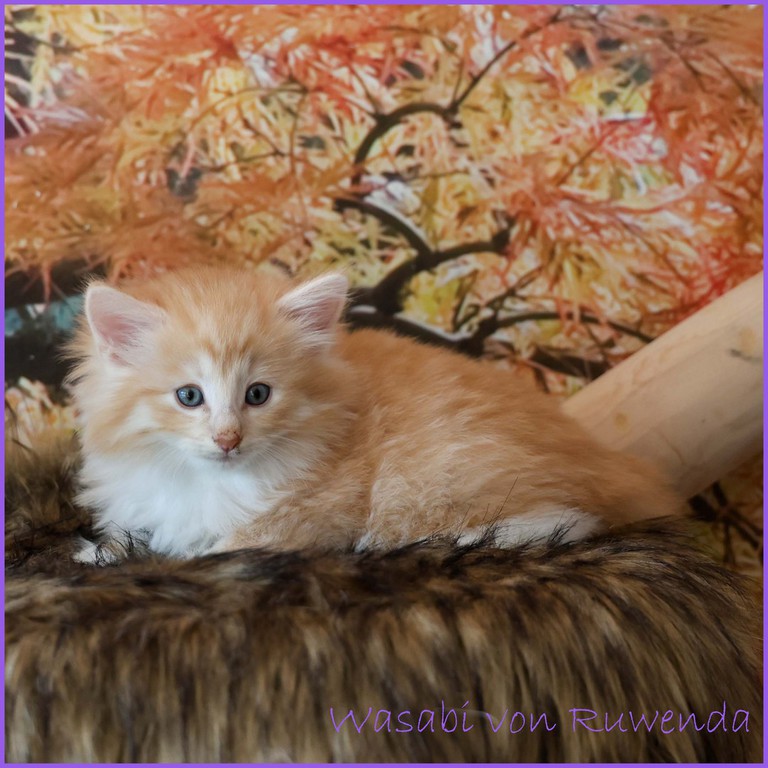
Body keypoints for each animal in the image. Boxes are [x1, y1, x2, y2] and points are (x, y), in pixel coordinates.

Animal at [67, 266, 680, 562]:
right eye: (189, 397)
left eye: (258, 394)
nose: (228, 439)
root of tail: (611, 463)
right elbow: (134, 534)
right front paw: (101, 554)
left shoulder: (317, 513)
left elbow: (227, 547)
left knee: (565, 522)